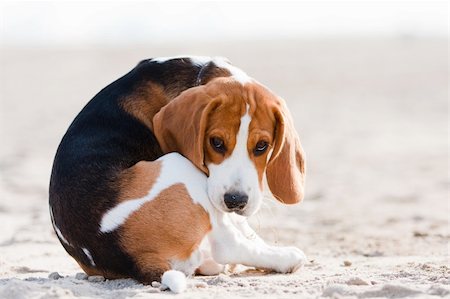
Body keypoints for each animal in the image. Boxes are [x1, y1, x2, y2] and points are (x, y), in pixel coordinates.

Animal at [49, 55, 308, 292]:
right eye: (216, 142)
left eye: (262, 146)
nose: (236, 201)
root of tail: (129, 256)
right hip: (180, 166)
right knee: (228, 245)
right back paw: (286, 258)